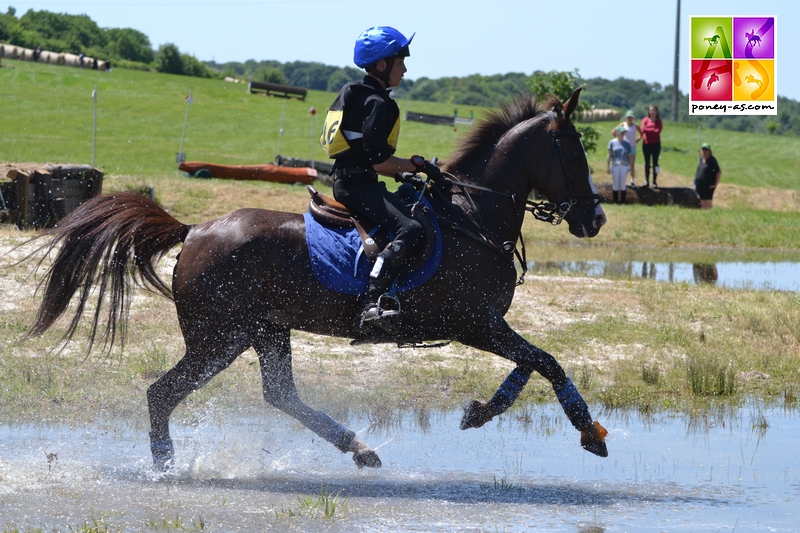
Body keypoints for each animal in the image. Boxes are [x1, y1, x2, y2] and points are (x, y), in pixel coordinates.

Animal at [20, 87, 608, 470]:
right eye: (574, 151)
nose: (595, 218)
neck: (473, 217)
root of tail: (194, 230)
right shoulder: (474, 323)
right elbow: (546, 363)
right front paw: (589, 431)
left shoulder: (483, 325)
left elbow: (530, 366)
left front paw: (480, 411)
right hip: (219, 338)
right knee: (162, 394)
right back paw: (165, 466)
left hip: (262, 330)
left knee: (280, 395)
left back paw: (359, 449)